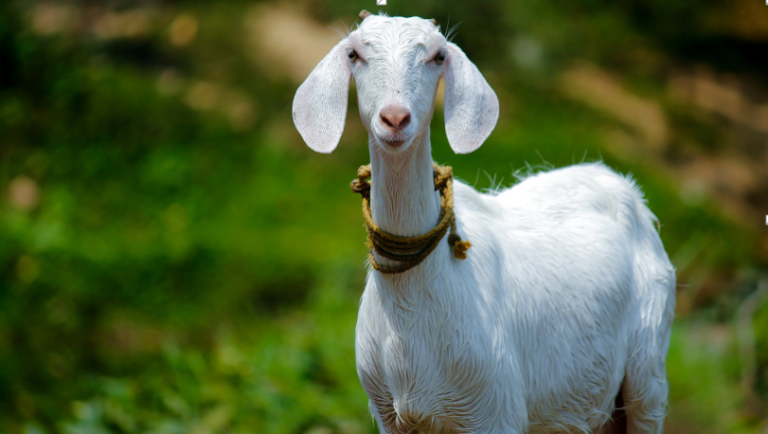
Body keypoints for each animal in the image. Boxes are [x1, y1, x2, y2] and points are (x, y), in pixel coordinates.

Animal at [293, 11, 676, 434]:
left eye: (438, 56)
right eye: (354, 54)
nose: (395, 118)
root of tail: (618, 182)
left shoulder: (496, 410)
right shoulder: (389, 415)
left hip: (649, 367)